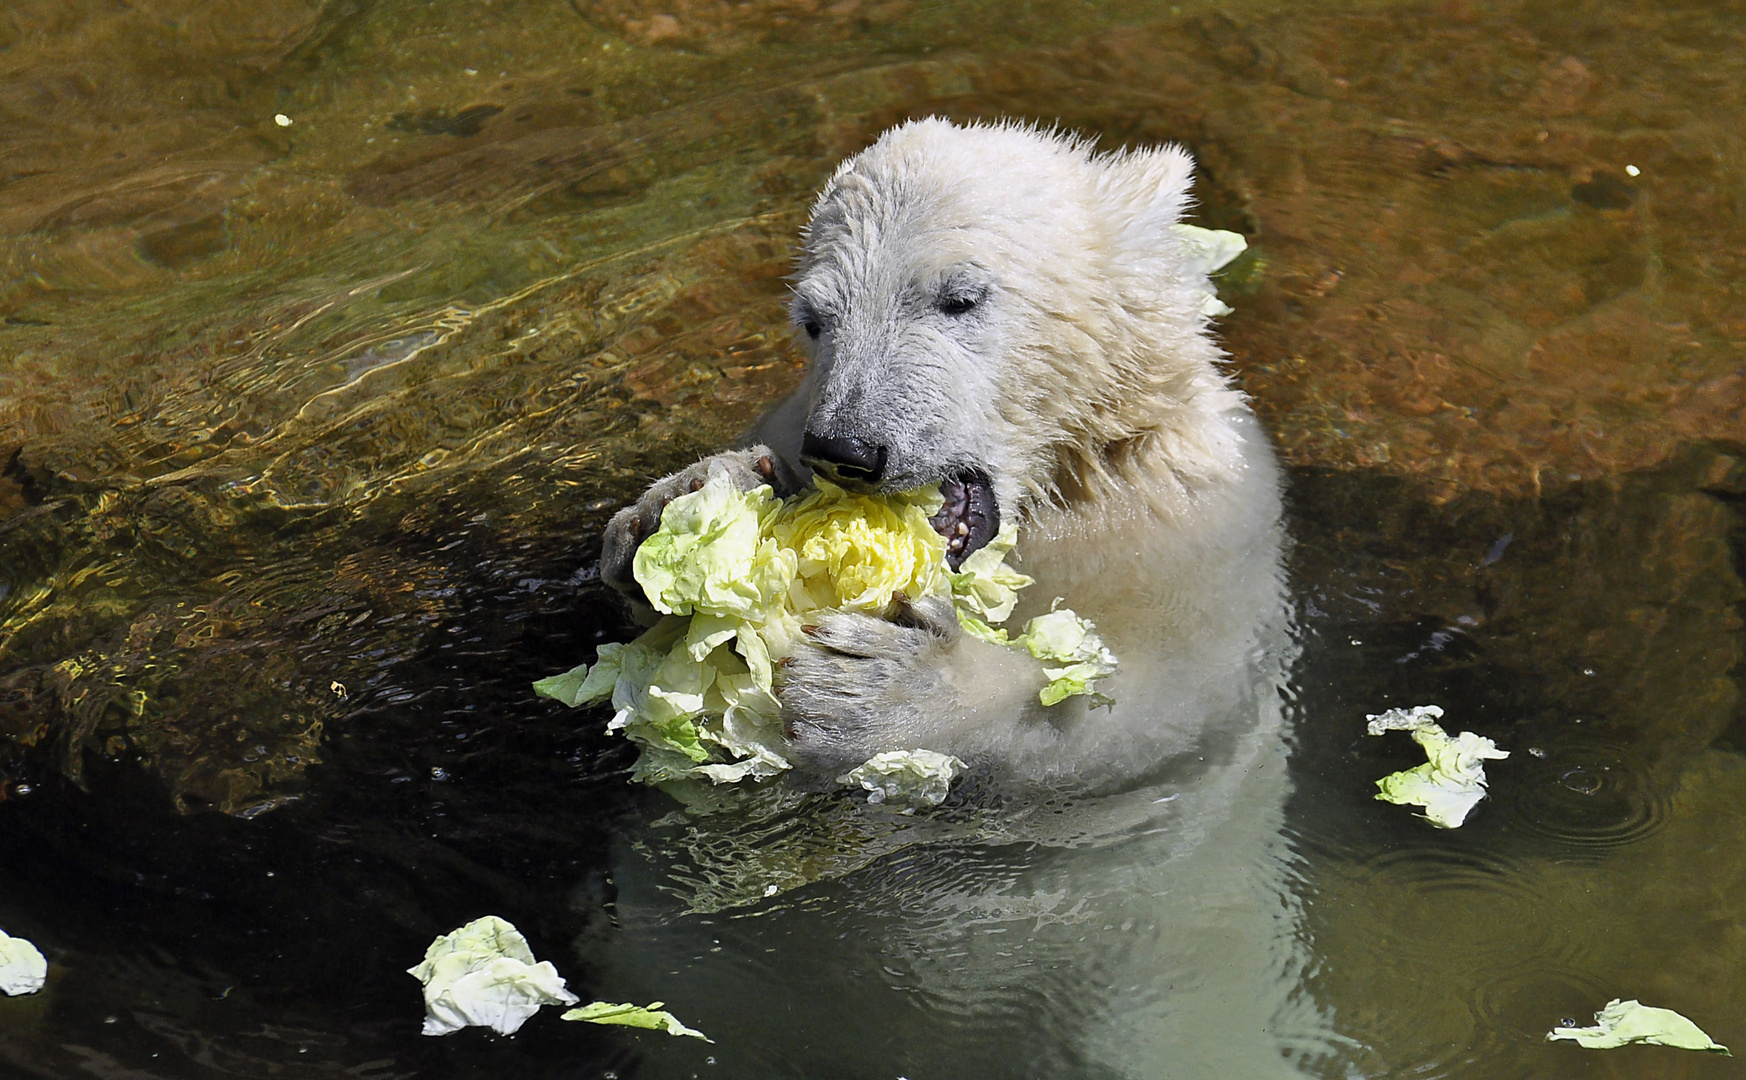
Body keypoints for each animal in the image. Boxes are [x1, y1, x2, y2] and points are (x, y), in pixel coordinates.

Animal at [600, 118, 1285, 788]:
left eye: (960, 297)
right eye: (815, 320)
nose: (846, 448)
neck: (1067, 481)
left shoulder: (1183, 529)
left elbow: (1154, 713)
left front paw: (885, 688)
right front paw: (676, 506)